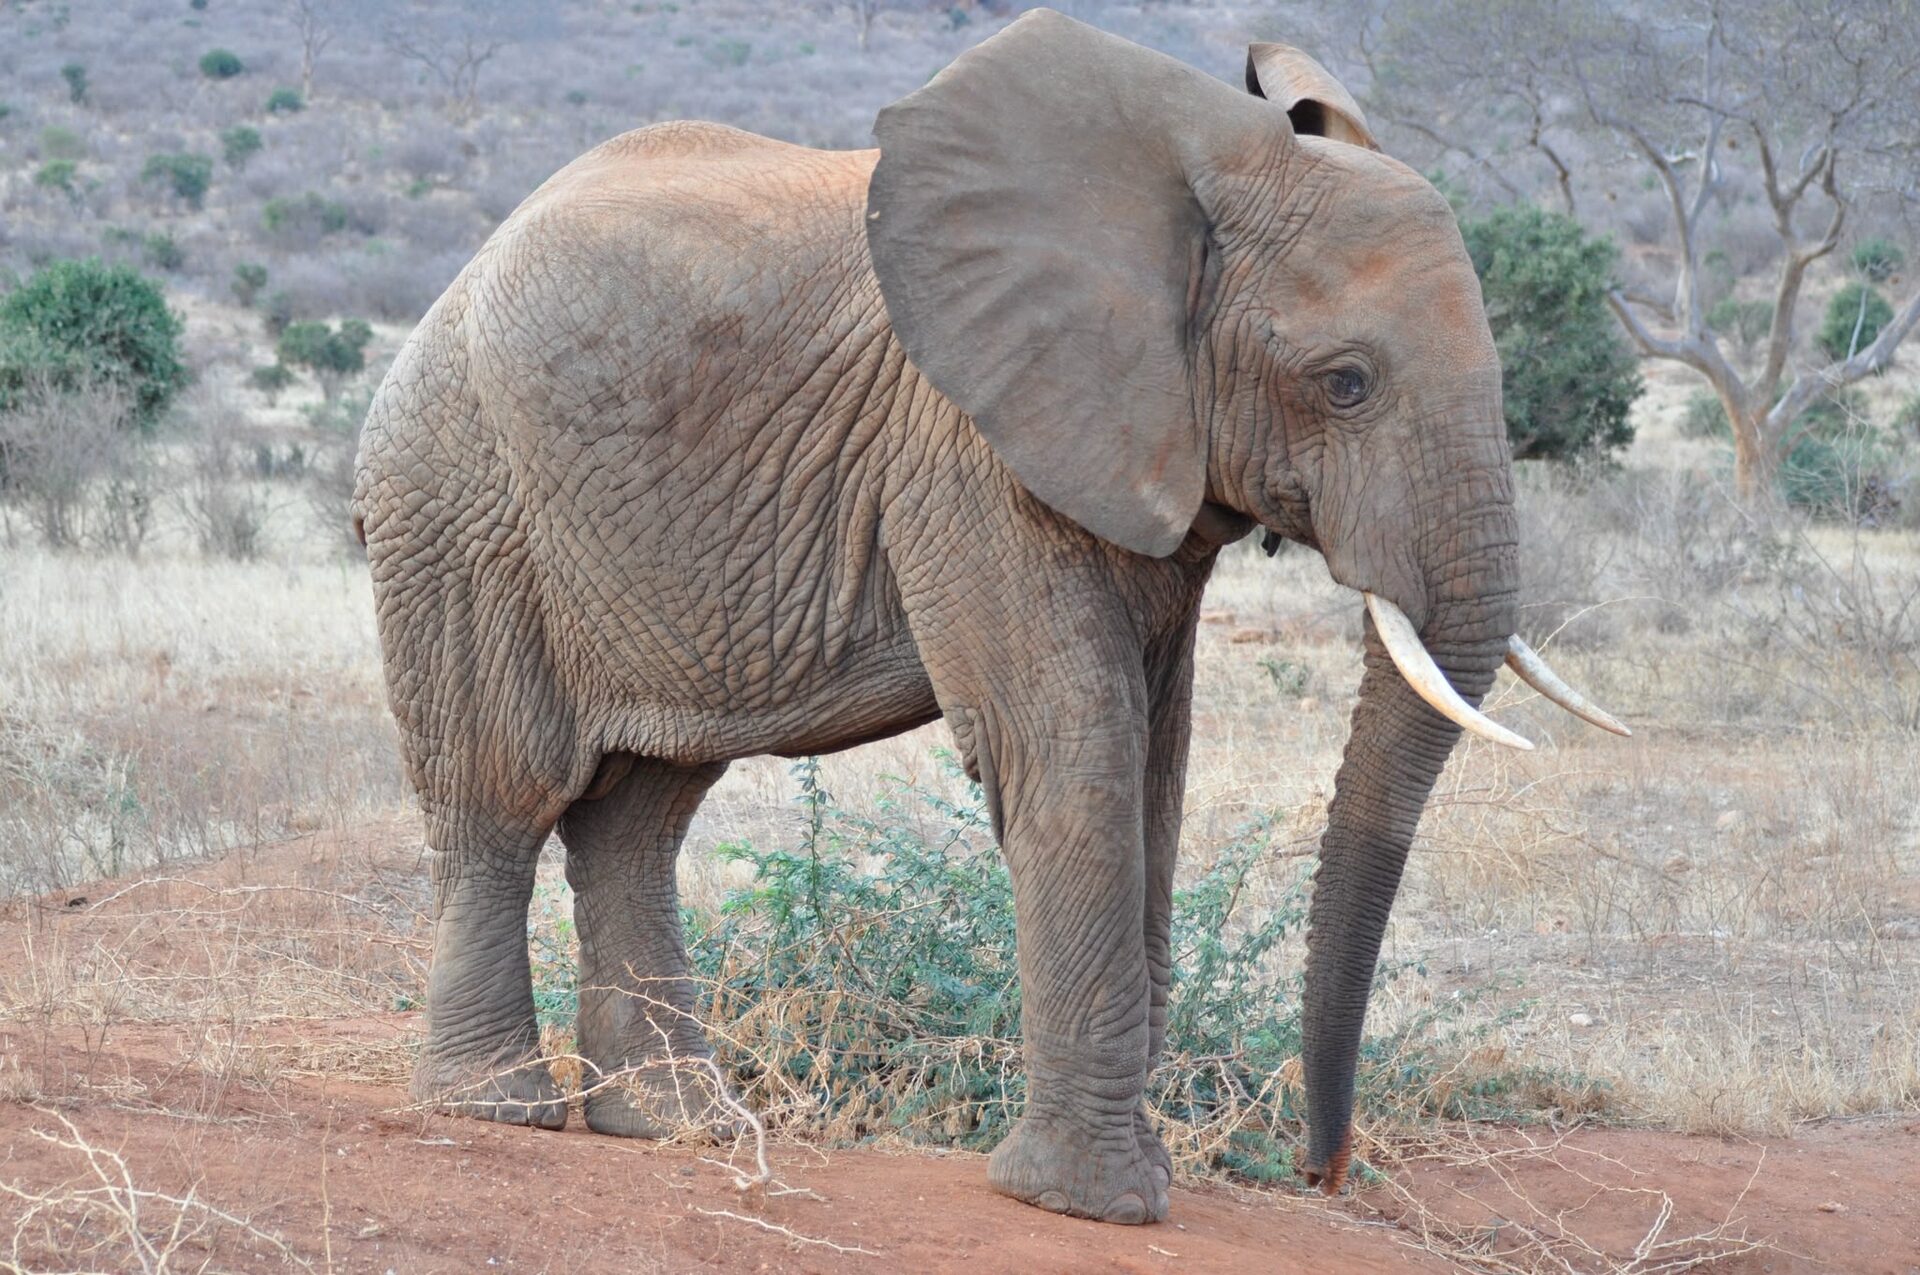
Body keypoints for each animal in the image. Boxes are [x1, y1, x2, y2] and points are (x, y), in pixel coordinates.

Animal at [352, 9, 1626, 1225]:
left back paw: (676, 1125)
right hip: (457, 501)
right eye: (1345, 383)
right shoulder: (971, 448)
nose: (1325, 1172)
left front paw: (1124, 1184)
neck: (1203, 163)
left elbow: (1156, 758)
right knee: (499, 796)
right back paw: (496, 1109)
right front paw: (1092, 1205)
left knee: (640, 813)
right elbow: (1073, 739)